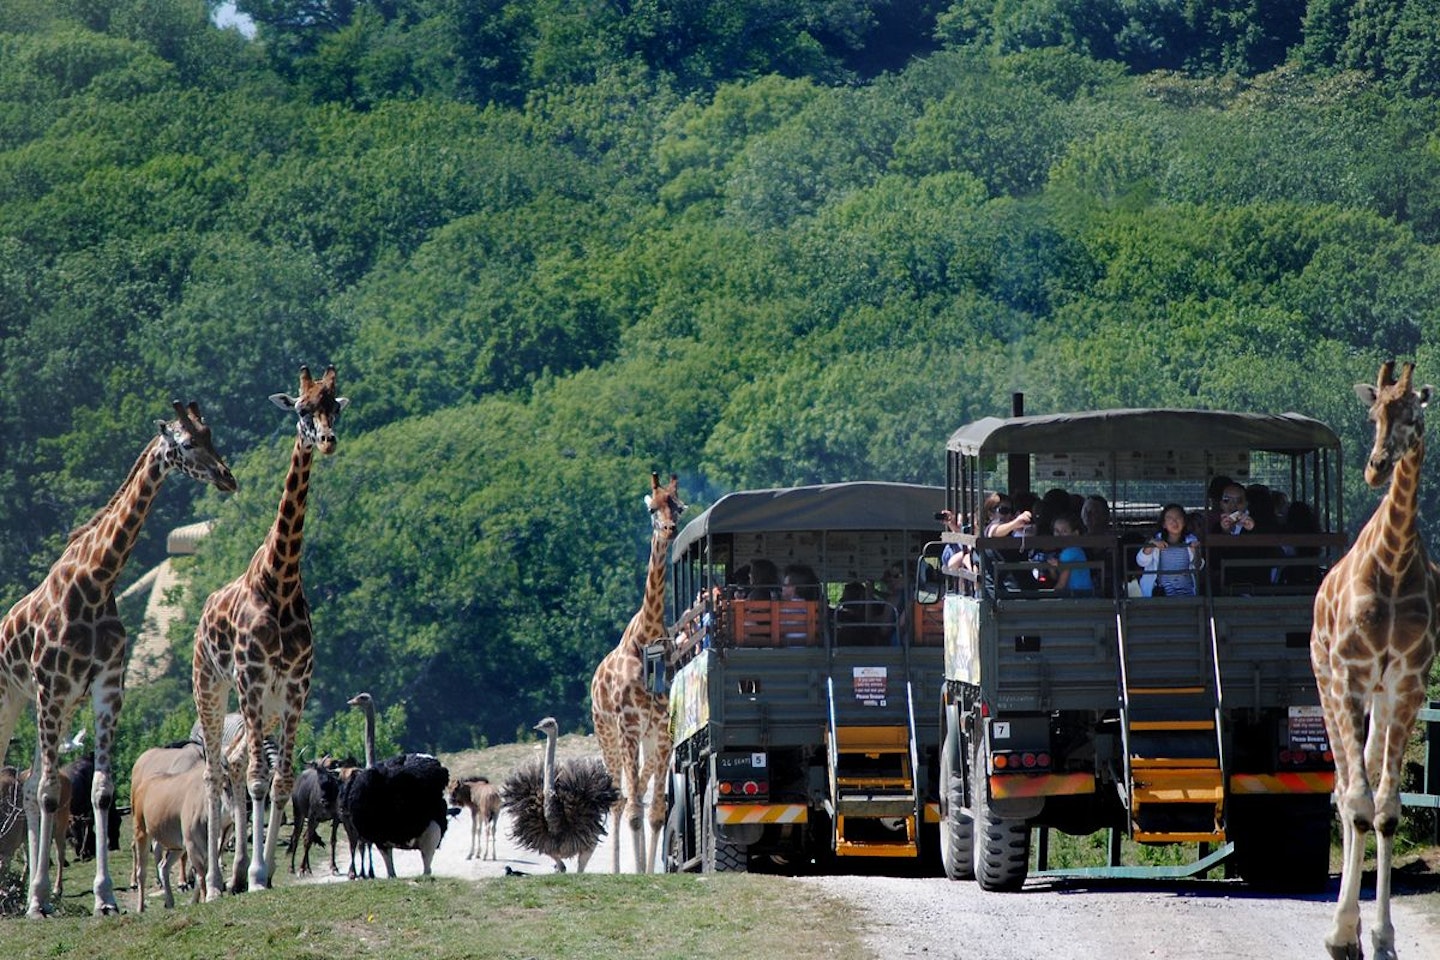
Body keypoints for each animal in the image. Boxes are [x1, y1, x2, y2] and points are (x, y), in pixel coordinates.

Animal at [0, 402, 236, 921]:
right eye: (185, 443)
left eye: (211, 434)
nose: (226, 477)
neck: (95, 581)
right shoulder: (52, 687)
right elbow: (52, 794)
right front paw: (40, 903)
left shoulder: (104, 688)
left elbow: (99, 790)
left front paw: (103, 898)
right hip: (15, 699)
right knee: (30, 785)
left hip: (50, 705)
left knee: (28, 786)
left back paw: (33, 892)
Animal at [192, 364, 347, 898]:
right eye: (301, 409)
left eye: (334, 405)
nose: (327, 440)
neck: (280, 581)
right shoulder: (253, 680)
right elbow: (260, 778)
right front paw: (257, 875)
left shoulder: (297, 687)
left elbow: (279, 780)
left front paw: (264, 869)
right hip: (214, 690)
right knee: (217, 770)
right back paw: (217, 882)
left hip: (268, 704)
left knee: (237, 765)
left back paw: (238, 870)